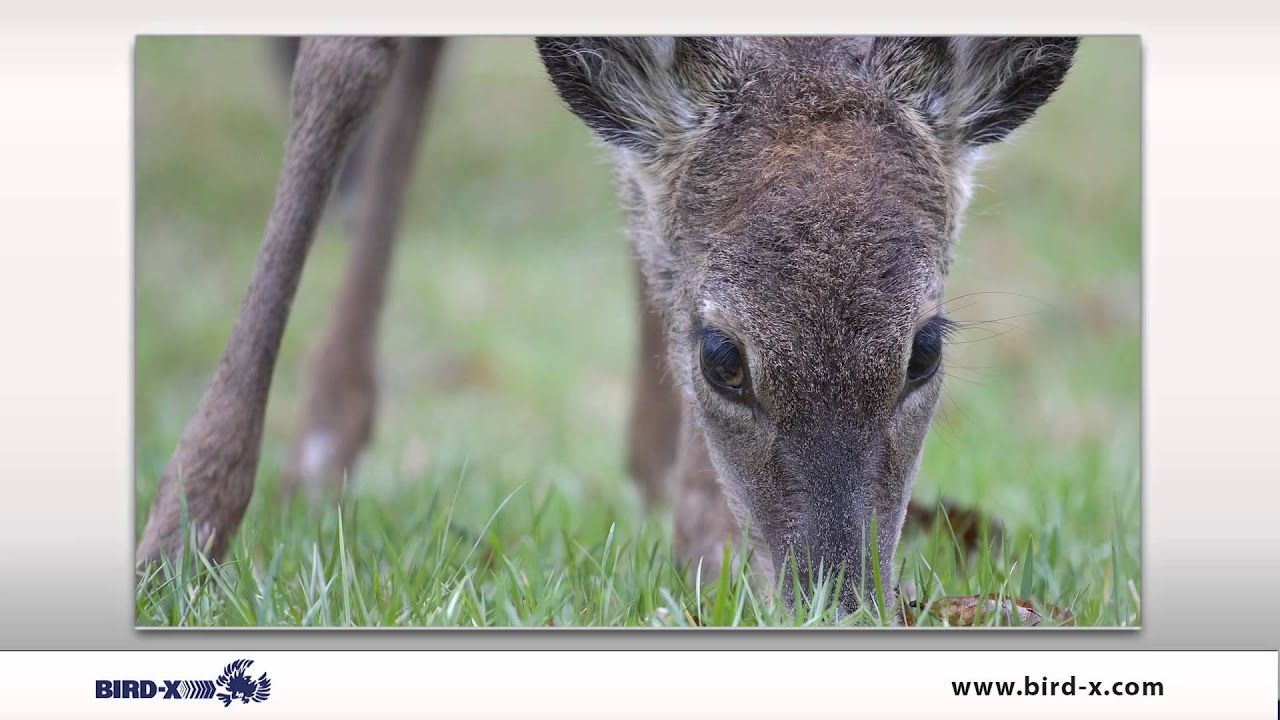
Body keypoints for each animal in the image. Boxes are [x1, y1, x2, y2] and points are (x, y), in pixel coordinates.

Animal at [136, 36, 1079, 618]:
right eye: (722, 358)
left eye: (924, 350)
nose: (835, 599)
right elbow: (348, 62)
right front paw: (180, 536)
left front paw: (706, 540)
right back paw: (322, 443)